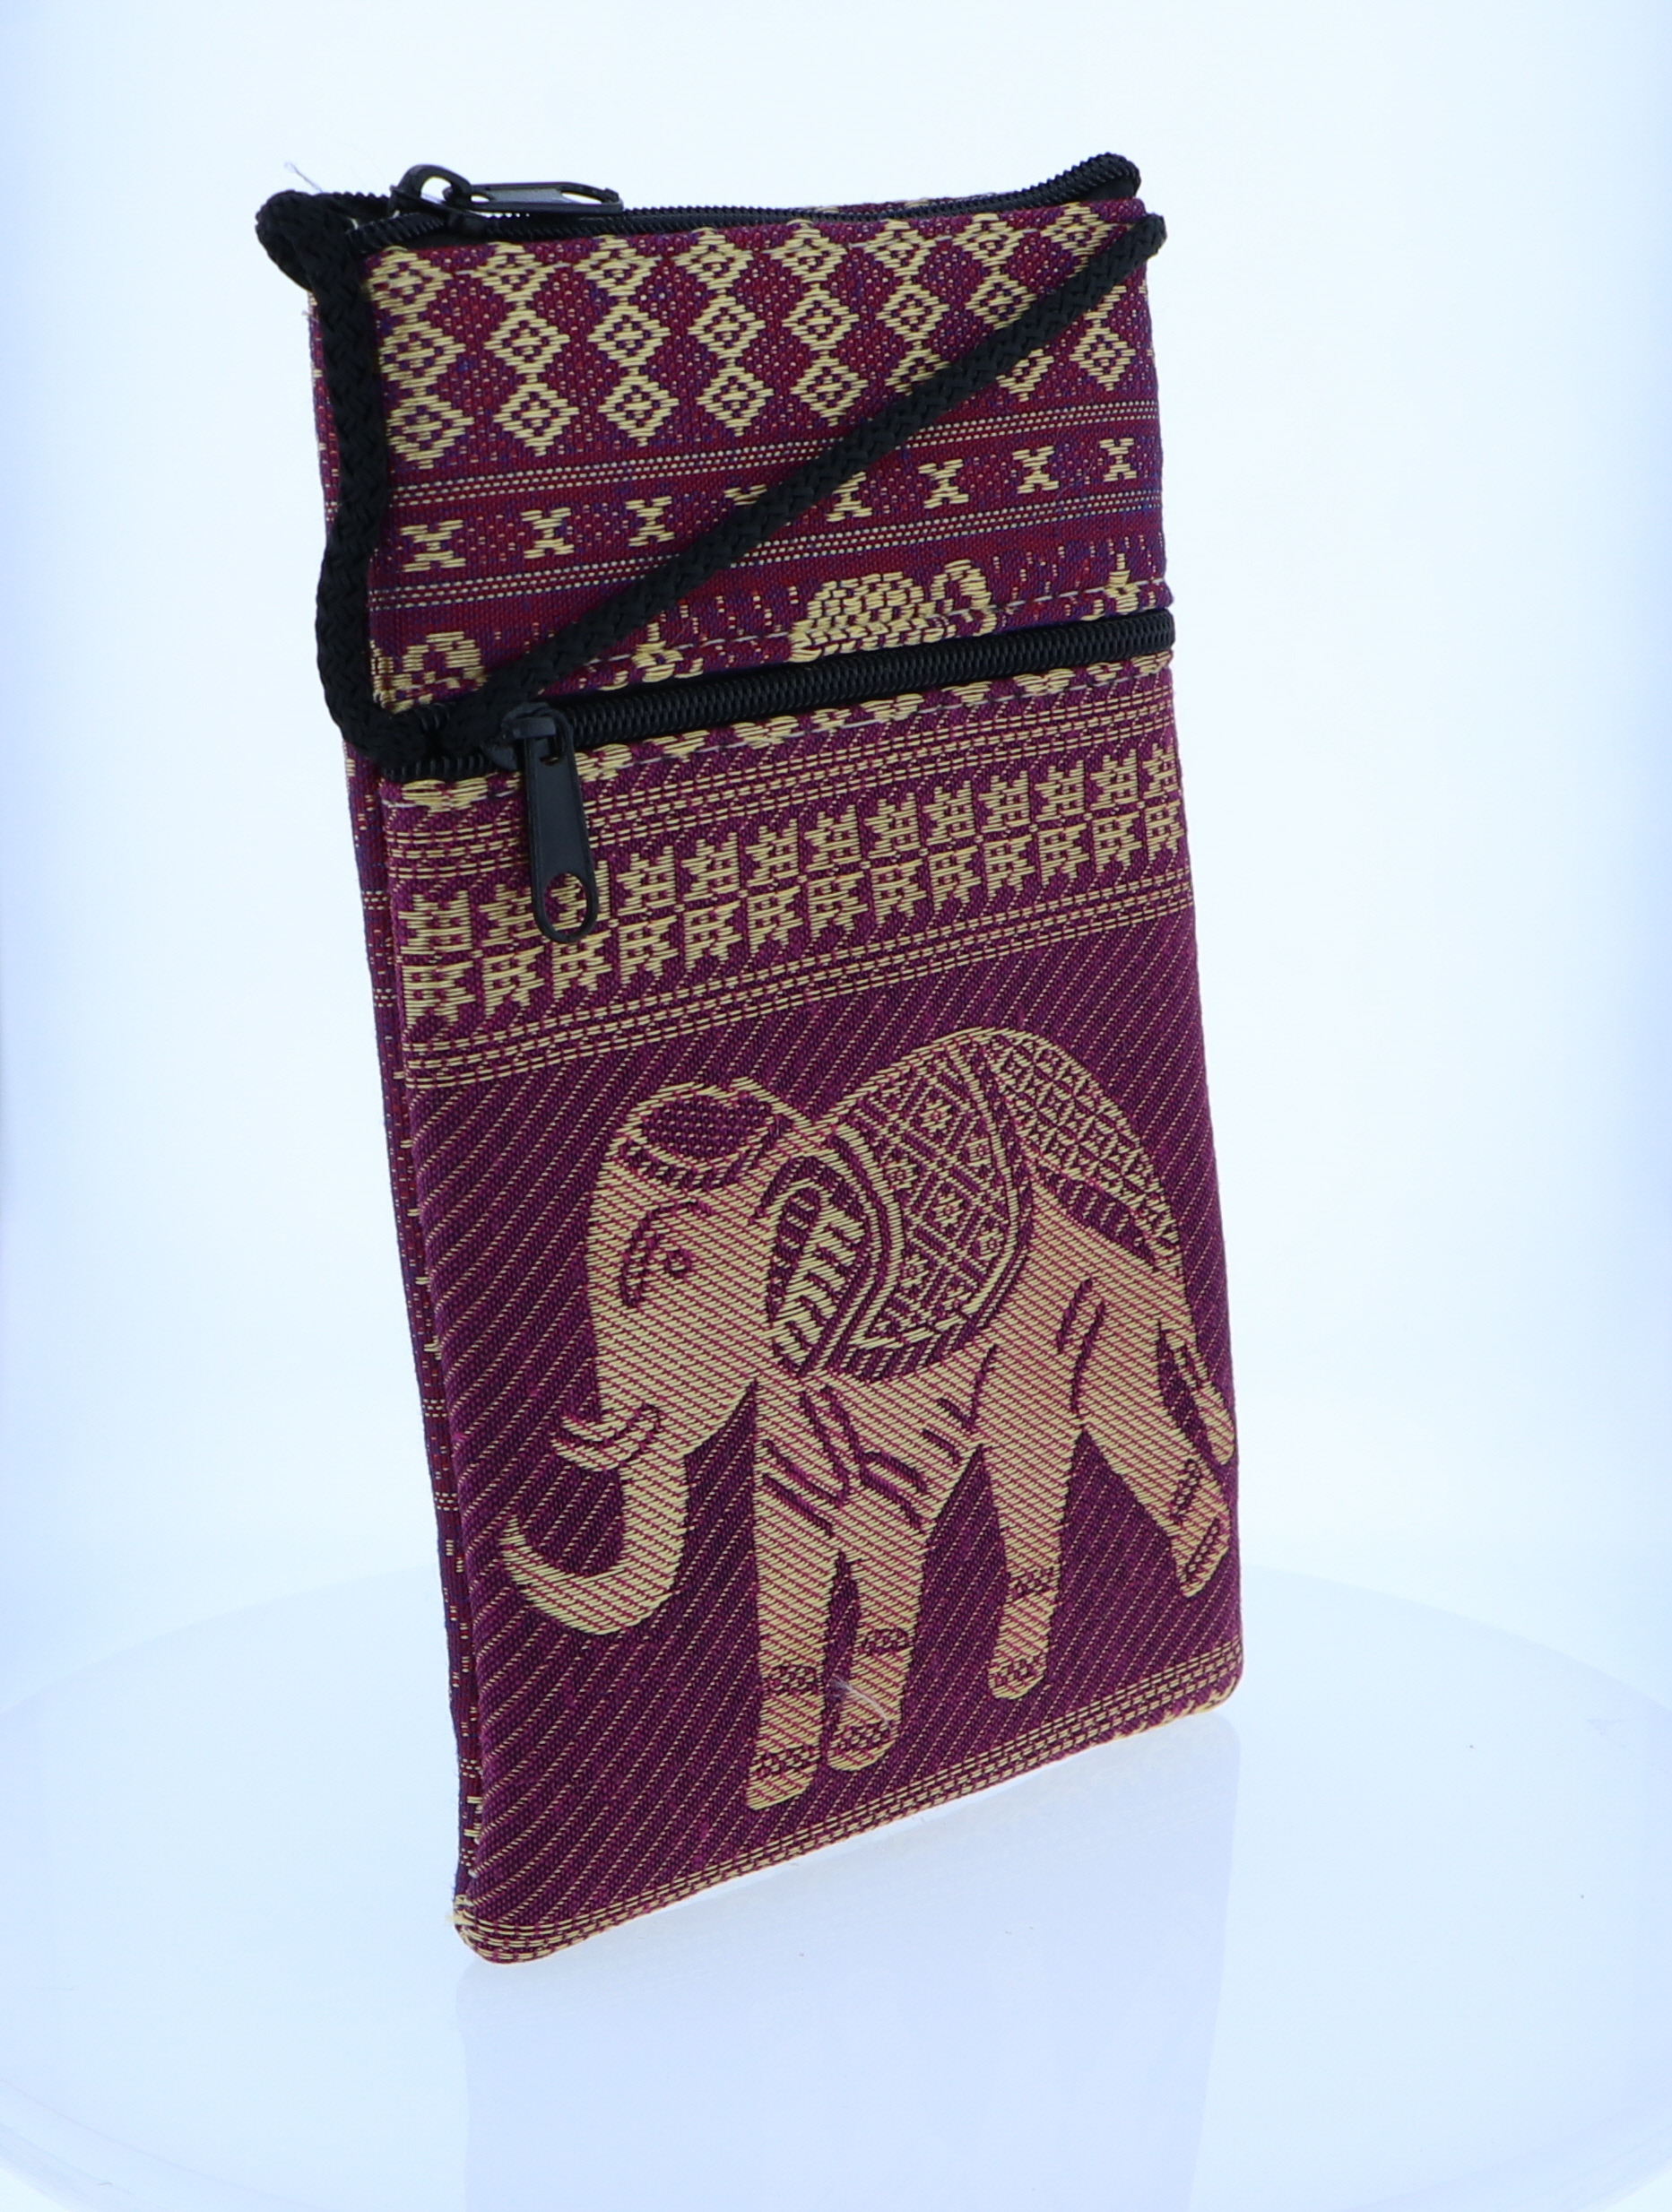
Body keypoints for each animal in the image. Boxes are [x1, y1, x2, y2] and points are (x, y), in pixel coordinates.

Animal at [502, 1028, 1235, 1812]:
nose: (566, 1434)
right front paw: (778, 1783)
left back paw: (1179, 1577)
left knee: (1079, 1421)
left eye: (674, 1264)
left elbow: (885, 1518)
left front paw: (856, 1751)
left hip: (1087, 1293)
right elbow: (785, 1534)